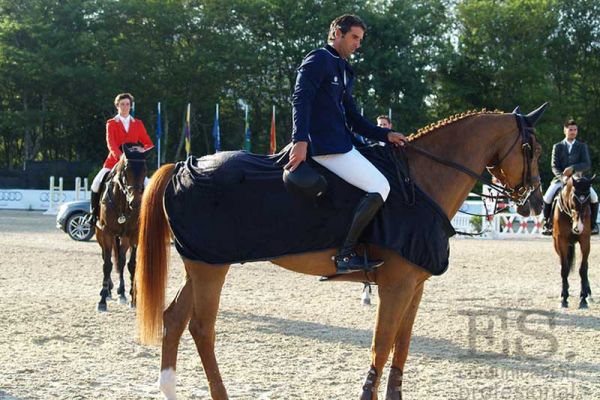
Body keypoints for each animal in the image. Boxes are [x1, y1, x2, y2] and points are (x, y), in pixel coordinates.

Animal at [96, 145, 148, 312]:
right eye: (126, 170)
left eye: (145, 169)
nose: (135, 202)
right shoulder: (106, 233)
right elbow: (107, 265)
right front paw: (102, 300)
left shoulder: (134, 234)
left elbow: (132, 265)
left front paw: (133, 298)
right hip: (101, 235)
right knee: (107, 258)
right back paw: (108, 291)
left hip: (124, 238)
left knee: (122, 260)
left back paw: (122, 293)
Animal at [137, 104, 548, 398]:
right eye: (533, 149)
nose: (535, 203)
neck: (419, 182)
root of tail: (183, 166)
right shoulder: (395, 286)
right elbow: (382, 345)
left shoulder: (414, 287)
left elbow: (401, 346)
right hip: (211, 268)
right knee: (201, 328)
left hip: (202, 263)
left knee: (174, 318)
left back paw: (169, 389)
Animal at [552, 175, 596, 310]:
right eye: (573, 198)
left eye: (588, 199)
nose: (578, 228)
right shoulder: (561, 241)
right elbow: (564, 269)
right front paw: (564, 298)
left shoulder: (585, 240)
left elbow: (583, 269)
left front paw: (583, 299)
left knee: (586, 266)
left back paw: (589, 294)